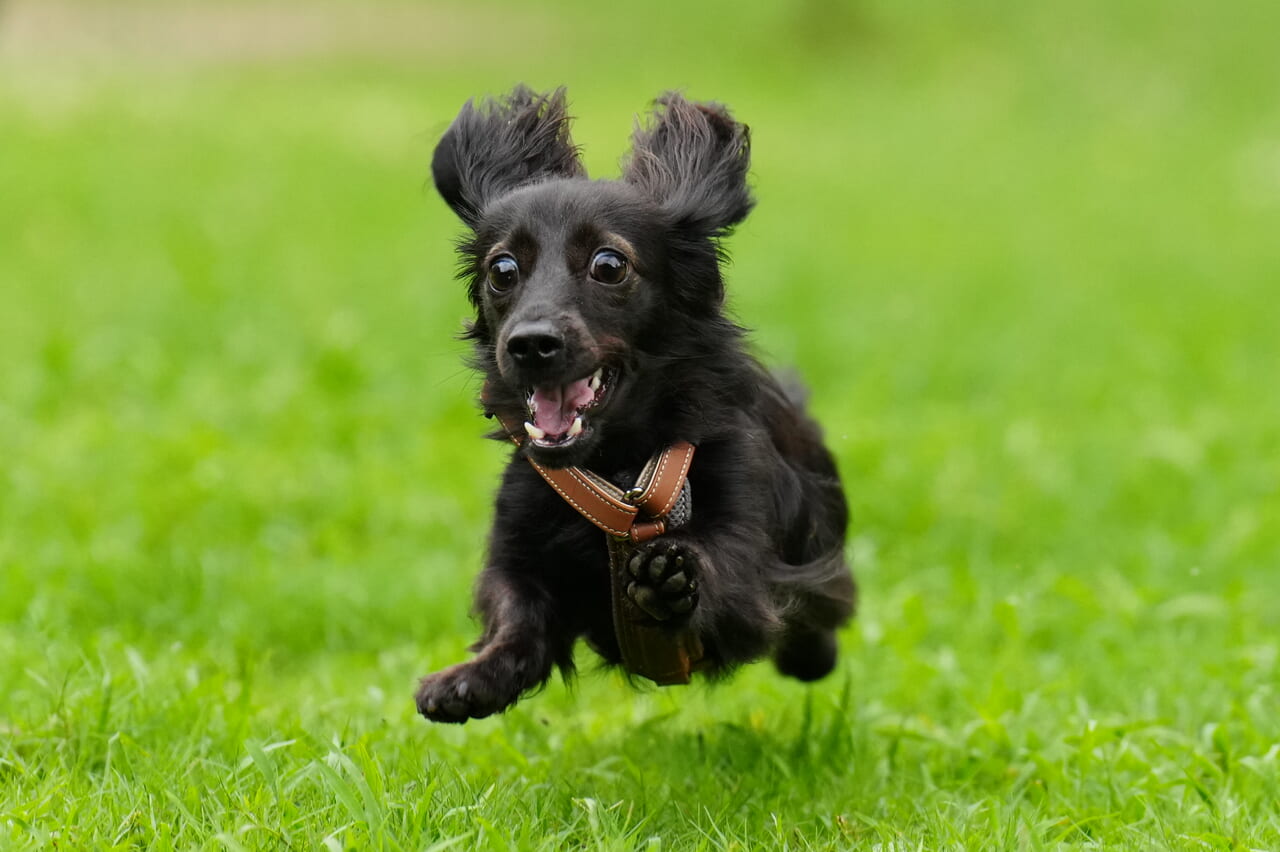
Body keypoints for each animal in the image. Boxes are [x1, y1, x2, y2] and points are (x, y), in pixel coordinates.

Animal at [419, 87, 855, 721]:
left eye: (609, 264)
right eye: (502, 269)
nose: (530, 344)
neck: (617, 465)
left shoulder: (746, 530)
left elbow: (727, 574)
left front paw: (669, 580)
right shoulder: (518, 547)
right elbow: (515, 614)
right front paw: (470, 680)